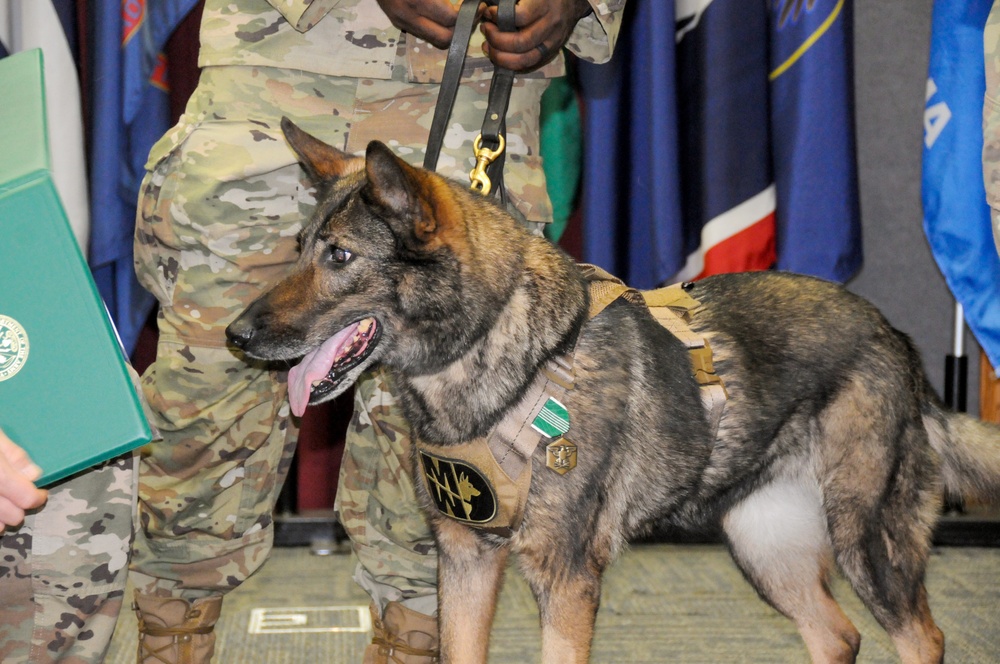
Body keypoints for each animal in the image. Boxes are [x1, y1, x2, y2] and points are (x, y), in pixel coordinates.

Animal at [227, 120, 1000, 664]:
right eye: (299, 248)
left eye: (341, 257)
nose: (237, 334)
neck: (496, 354)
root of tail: (892, 334)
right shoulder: (466, 562)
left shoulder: (565, 580)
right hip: (766, 549)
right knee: (838, 636)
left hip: (865, 539)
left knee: (921, 638)